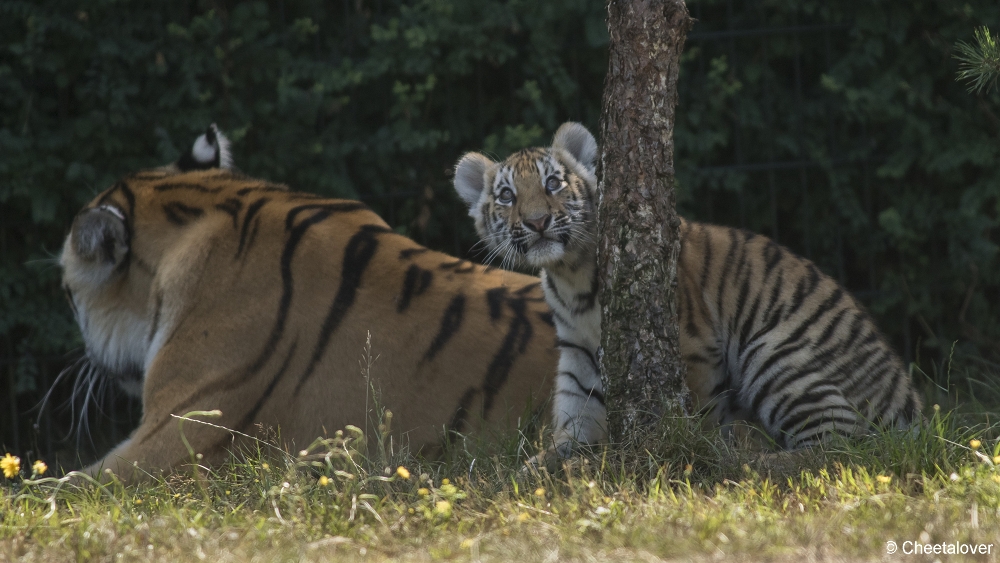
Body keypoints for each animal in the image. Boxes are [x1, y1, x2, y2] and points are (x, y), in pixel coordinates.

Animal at [454, 122, 920, 458]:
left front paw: (705, 450)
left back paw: (754, 464)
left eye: (552, 183)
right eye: (507, 195)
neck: (570, 279)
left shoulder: (694, 349)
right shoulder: (578, 364)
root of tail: (909, 407)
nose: (537, 222)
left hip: (775, 355)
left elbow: (701, 417)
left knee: (840, 448)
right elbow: (554, 449)